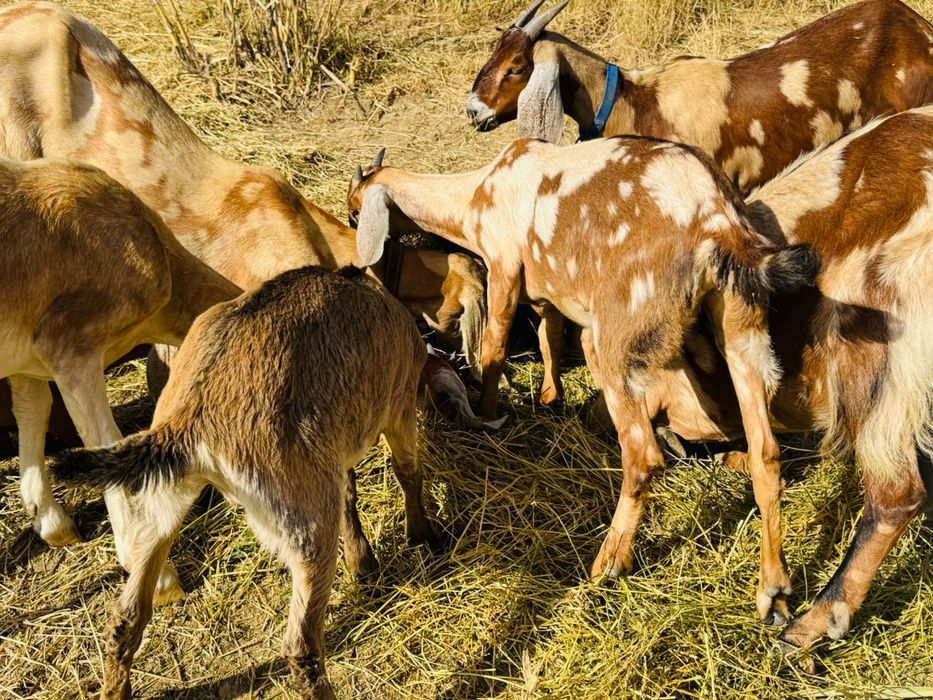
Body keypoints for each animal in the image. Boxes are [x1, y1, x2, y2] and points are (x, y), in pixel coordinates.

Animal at [0, 156, 239, 604]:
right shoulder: (71, 346)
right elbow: (104, 438)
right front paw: (157, 578)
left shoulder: (28, 360)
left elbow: (33, 412)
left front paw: (52, 523)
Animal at [51, 265, 440, 700]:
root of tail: (190, 421)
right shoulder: (399, 406)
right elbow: (407, 471)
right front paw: (423, 537)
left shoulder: (336, 452)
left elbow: (350, 495)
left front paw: (364, 563)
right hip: (303, 517)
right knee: (301, 645)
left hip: (161, 502)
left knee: (126, 616)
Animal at [348, 138, 818, 622]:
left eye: (354, 211)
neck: (476, 193)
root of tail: (721, 228)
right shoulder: (546, 291)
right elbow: (548, 335)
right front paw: (549, 397)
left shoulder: (503, 263)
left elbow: (495, 347)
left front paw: (488, 413)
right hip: (743, 325)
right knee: (766, 452)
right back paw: (774, 593)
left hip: (618, 337)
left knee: (643, 456)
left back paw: (608, 563)